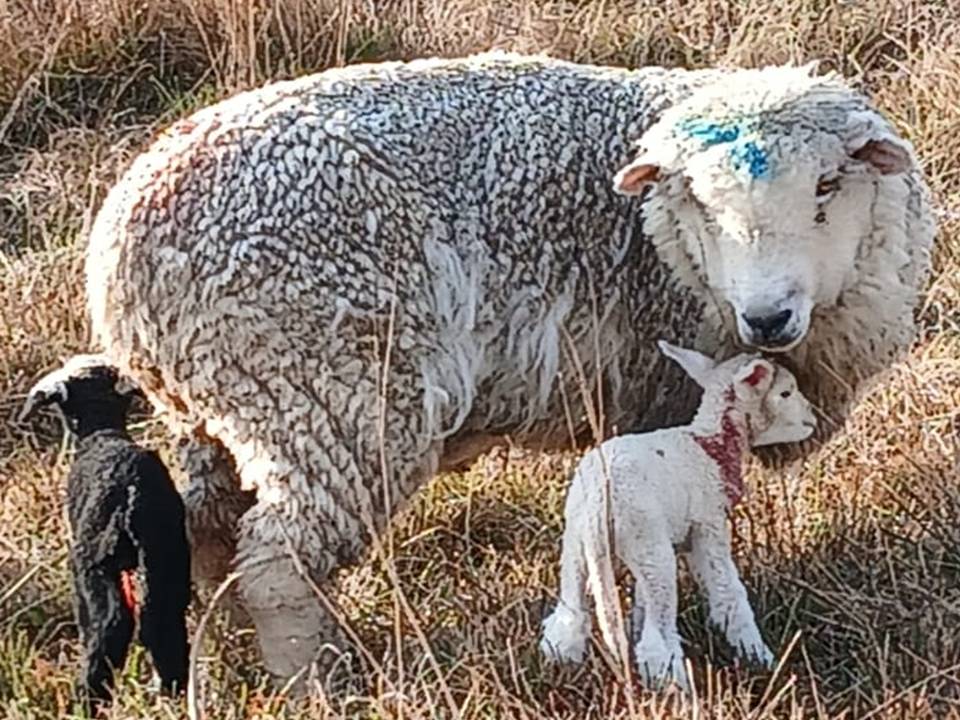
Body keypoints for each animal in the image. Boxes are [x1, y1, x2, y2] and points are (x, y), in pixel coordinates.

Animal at [19, 355, 191, 711]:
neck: (102, 433)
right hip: (167, 562)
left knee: (107, 629)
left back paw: (86, 701)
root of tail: (130, 495)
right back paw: (172, 694)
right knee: (162, 625)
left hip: (92, 568)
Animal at [539, 340, 817, 690]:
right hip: (649, 544)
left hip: (579, 545)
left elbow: (641, 604)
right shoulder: (708, 527)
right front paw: (762, 659)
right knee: (656, 639)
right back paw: (678, 687)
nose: (811, 417)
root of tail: (599, 502)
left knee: (569, 619)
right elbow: (729, 594)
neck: (710, 444)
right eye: (785, 392)